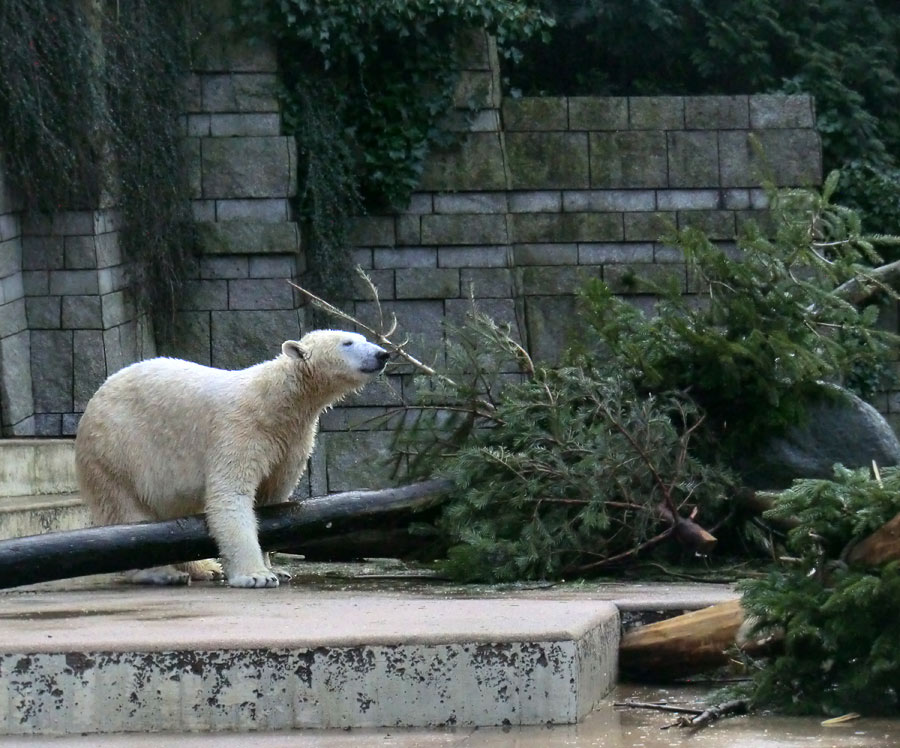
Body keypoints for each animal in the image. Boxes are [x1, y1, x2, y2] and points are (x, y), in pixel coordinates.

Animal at [74, 330, 390, 588]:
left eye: (362, 337)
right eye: (348, 342)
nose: (382, 354)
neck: (275, 401)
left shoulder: (291, 442)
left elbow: (271, 500)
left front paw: (275, 569)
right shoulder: (239, 430)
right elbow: (230, 495)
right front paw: (256, 576)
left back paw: (205, 567)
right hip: (115, 450)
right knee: (126, 511)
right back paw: (160, 573)